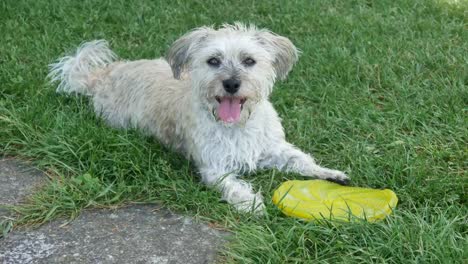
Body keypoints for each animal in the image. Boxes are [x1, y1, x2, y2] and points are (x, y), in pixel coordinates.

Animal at [49, 22, 350, 212]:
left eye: (249, 61)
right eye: (213, 61)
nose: (231, 83)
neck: (237, 125)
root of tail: (102, 76)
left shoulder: (272, 148)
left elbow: (300, 159)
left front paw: (331, 174)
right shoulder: (214, 168)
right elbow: (233, 186)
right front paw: (251, 204)